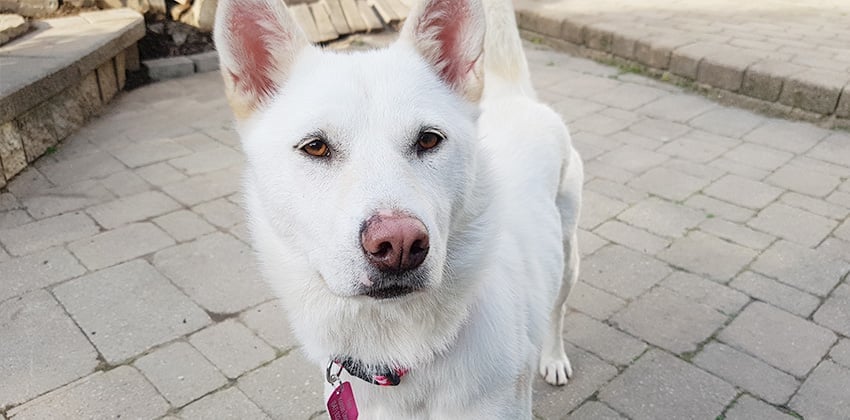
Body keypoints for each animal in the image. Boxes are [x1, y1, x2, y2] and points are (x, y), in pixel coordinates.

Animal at [212, 0, 584, 416]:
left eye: (429, 140)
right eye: (316, 147)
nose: (400, 245)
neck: (399, 349)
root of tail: (513, 97)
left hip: (567, 257)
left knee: (558, 310)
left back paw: (554, 358)